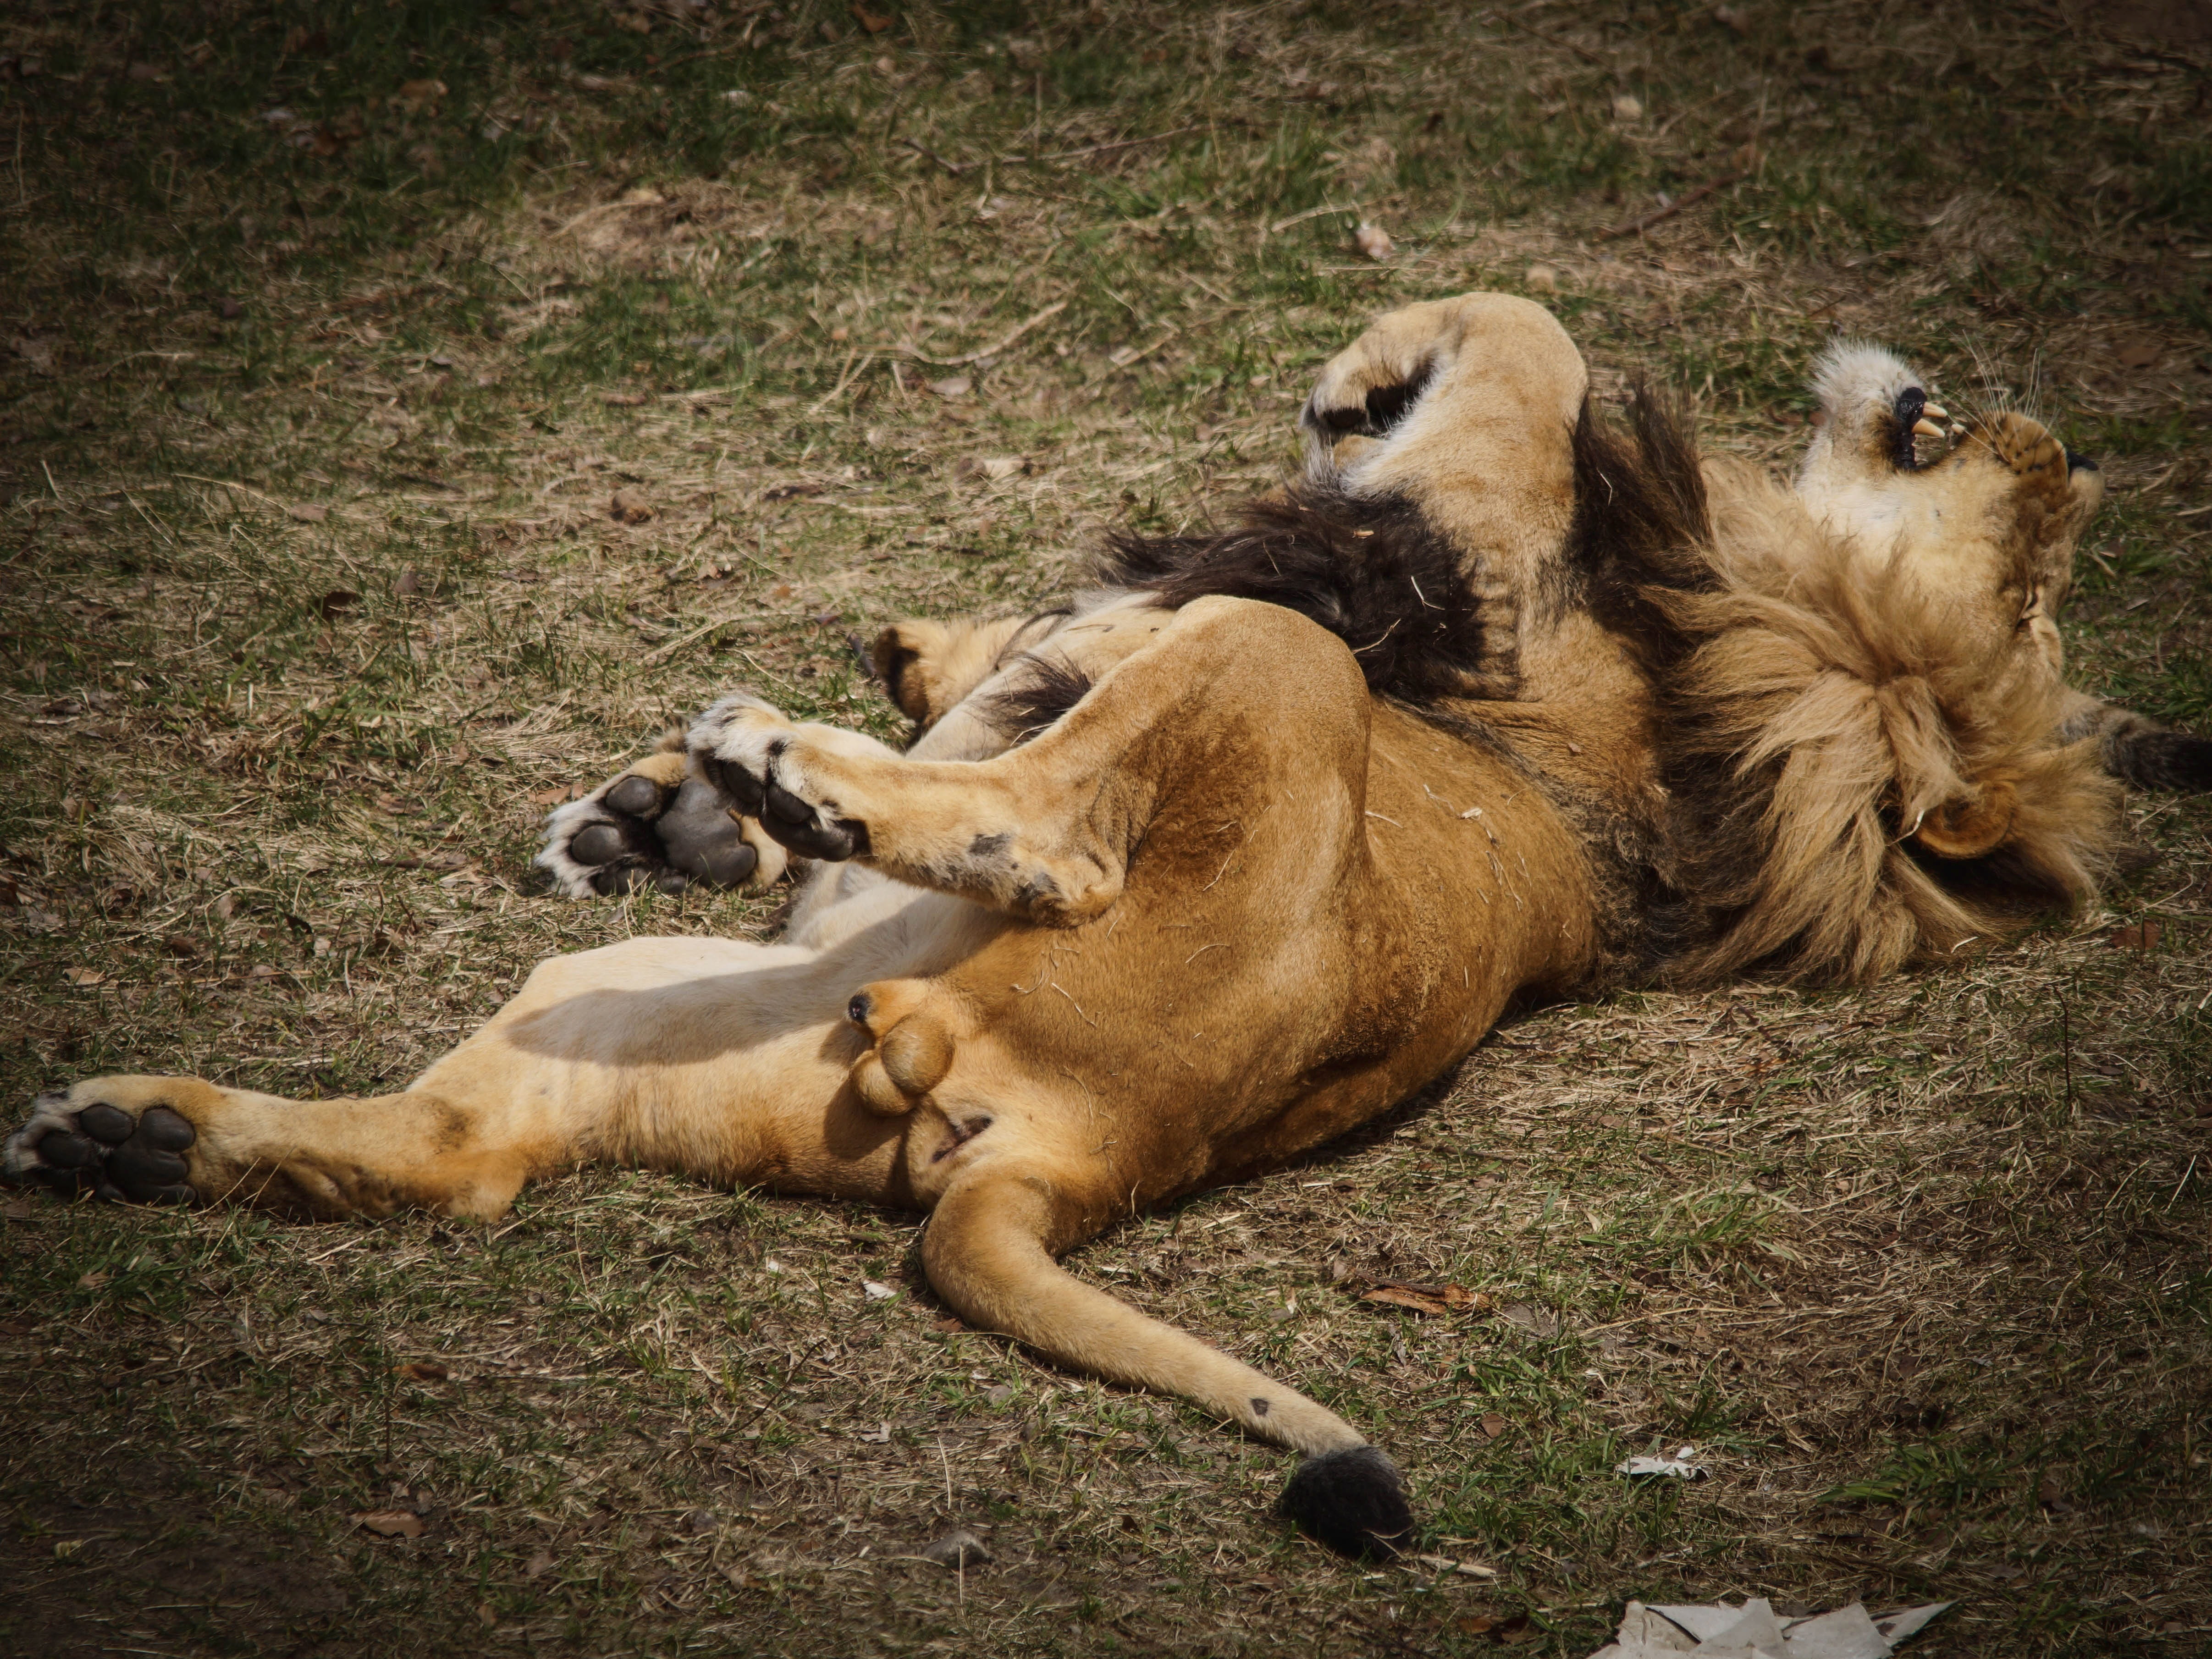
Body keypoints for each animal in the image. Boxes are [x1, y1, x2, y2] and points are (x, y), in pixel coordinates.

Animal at [6, 294, 2190, 1559]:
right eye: (2045, 549)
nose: (2054, 440)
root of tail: (1084, 1151)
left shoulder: (1486, 561)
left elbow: (1529, 341)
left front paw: (1373, 367)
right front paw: (679, 805)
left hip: (1265, 669)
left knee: (1046, 826)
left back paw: (798, 767)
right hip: (637, 1005)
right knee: (466, 1155)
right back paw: (140, 1136)